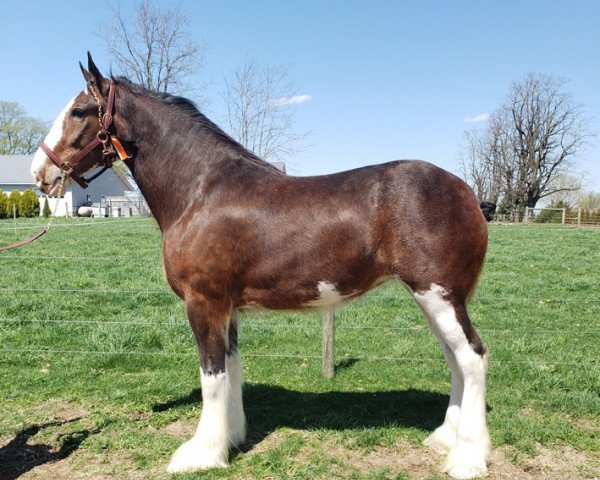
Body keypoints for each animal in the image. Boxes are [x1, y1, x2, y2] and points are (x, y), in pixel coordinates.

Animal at [30, 54, 492, 478]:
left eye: (79, 111)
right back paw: (445, 438)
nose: (40, 171)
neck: (200, 191)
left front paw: (200, 454)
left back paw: (467, 457)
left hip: (439, 294)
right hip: (435, 298)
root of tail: (467, 192)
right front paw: (230, 439)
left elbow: (212, 375)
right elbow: (232, 370)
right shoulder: (227, 308)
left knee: (472, 358)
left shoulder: (204, 302)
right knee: (455, 360)